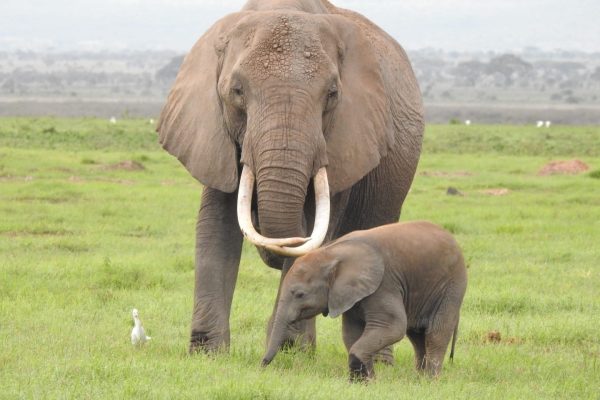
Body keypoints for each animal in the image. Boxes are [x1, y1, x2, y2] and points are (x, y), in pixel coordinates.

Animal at [157, 0, 424, 356]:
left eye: (332, 94)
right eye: (236, 91)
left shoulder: (345, 140)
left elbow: (314, 230)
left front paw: (288, 350)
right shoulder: (212, 133)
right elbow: (215, 227)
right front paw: (206, 353)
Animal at [264, 222, 468, 382]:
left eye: (300, 294)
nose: (263, 365)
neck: (331, 253)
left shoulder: (383, 284)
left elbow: (392, 327)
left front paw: (363, 381)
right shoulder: (350, 294)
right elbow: (351, 333)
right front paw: (366, 381)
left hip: (452, 285)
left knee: (436, 332)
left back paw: (430, 381)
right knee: (417, 336)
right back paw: (418, 379)